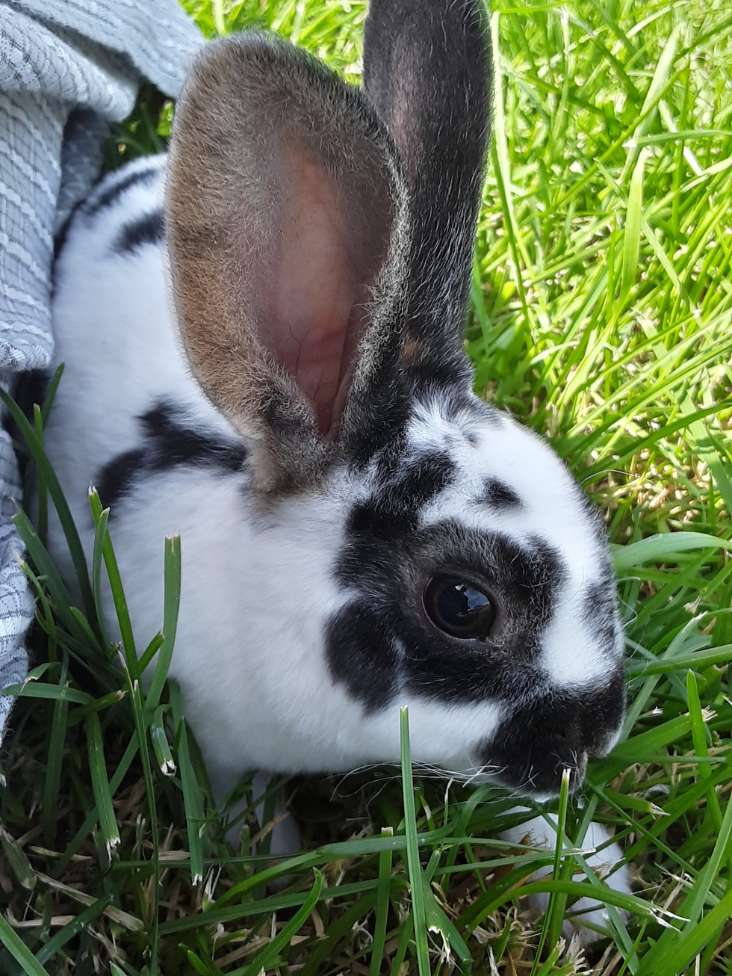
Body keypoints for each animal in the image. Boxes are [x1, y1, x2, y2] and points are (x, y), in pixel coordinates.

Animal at [42, 0, 630, 932]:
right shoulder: (213, 727)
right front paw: (267, 865)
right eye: (463, 604)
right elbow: (236, 793)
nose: (595, 737)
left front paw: (594, 883)